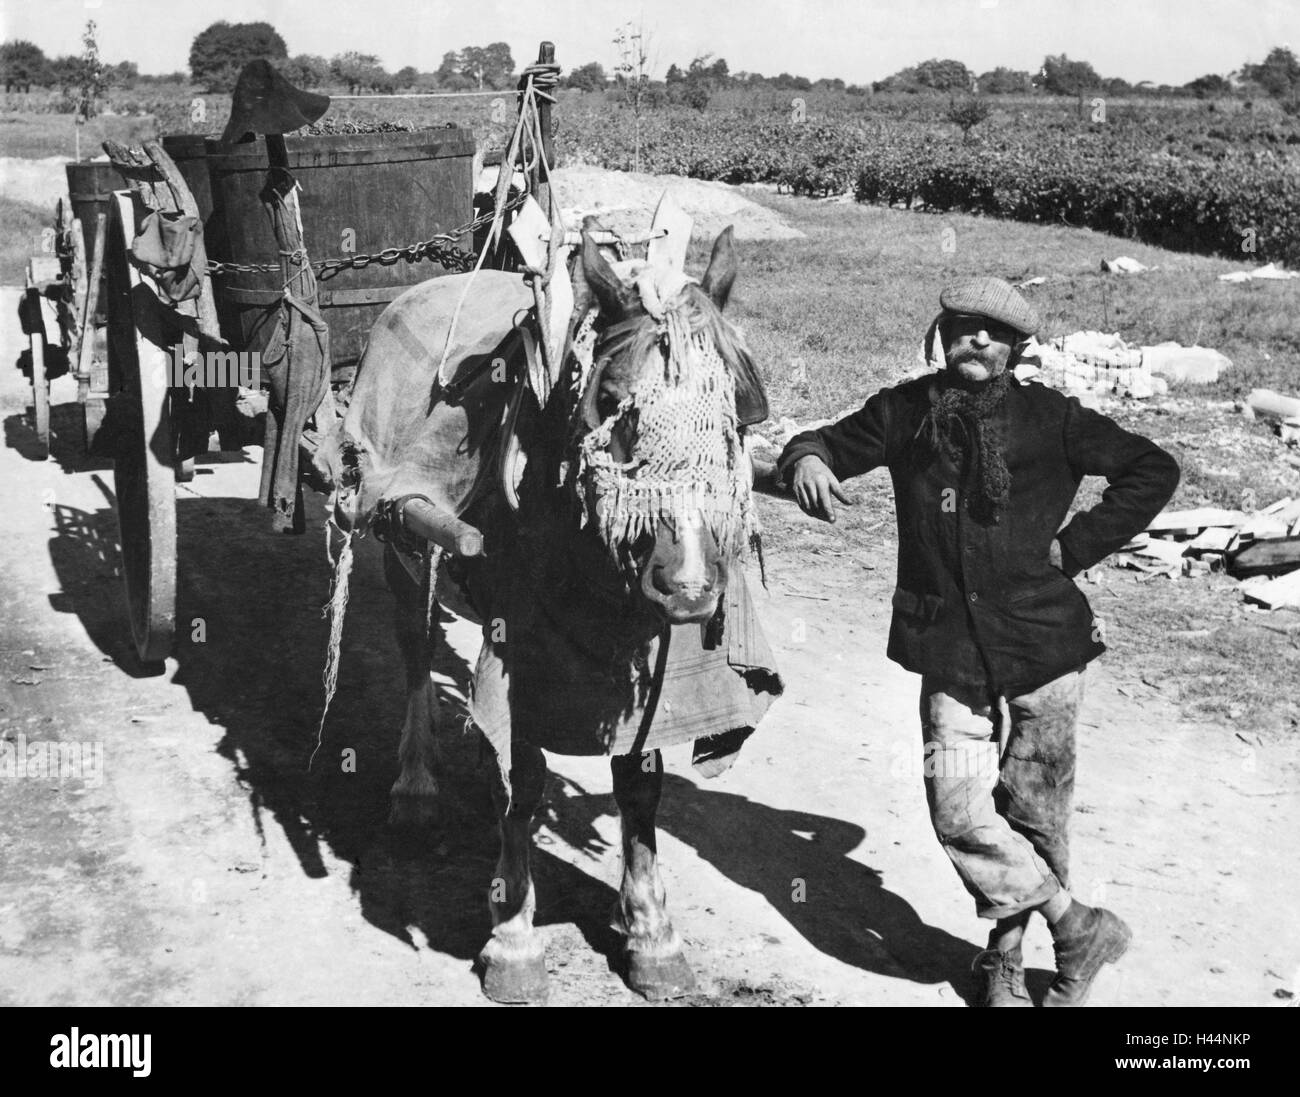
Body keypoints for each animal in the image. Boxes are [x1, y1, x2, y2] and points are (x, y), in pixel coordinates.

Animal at [325, 222, 780, 1003]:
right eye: (616, 402)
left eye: (733, 414)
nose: (690, 586)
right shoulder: (518, 659)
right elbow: (523, 778)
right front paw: (512, 934)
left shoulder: (647, 655)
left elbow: (640, 780)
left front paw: (651, 930)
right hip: (400, 534)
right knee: (416, 650)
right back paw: (416, 784)